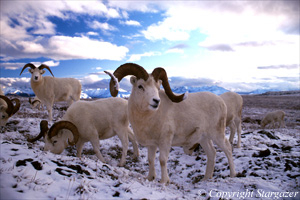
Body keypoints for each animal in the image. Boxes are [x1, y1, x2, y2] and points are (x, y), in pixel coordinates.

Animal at [105, 63, 237, 184]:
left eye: (157, 88)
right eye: (140, 86)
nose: (156, 101)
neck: (149, 118)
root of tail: (221, 102)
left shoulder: (165, 141)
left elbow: (162, 160)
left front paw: (164, 182)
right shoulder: (152, 145)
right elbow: (151, 159)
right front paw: (150, 178)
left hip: (217, 134)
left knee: (227, 148)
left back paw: (232, 175)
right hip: (204, 138)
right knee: (212, 153)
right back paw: (206, 178)